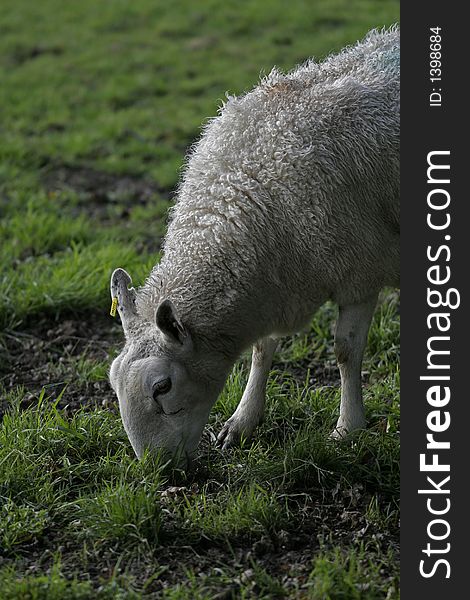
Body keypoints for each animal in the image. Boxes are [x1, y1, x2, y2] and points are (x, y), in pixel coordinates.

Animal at [108, 27, 398, 460]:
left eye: (162, 387)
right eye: (113, 382)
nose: (157, 469)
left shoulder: (360, 272)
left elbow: (345, 351)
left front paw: (348, 428)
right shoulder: (277, 279)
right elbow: (263, 350)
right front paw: (243, 421)